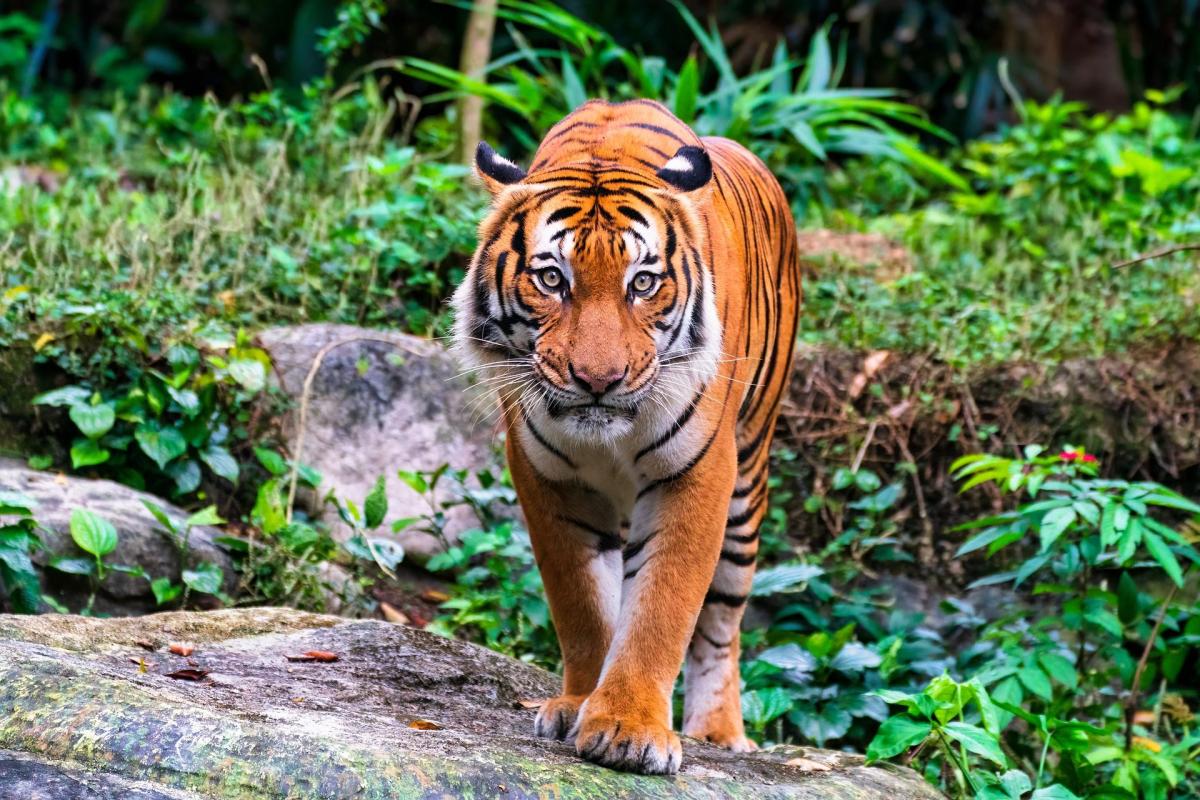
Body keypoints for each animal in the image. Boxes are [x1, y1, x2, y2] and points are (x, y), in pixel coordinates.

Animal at [451, 98, 801, 775]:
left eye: (642, 283)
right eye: (552, 280)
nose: (598, 379)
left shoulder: (696, 472)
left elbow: (664, 603)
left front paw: (628, 729)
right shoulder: (548, 476)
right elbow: (583, 605)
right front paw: (579, 704)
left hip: (748, 482)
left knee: (722, 623)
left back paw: (719, 732)